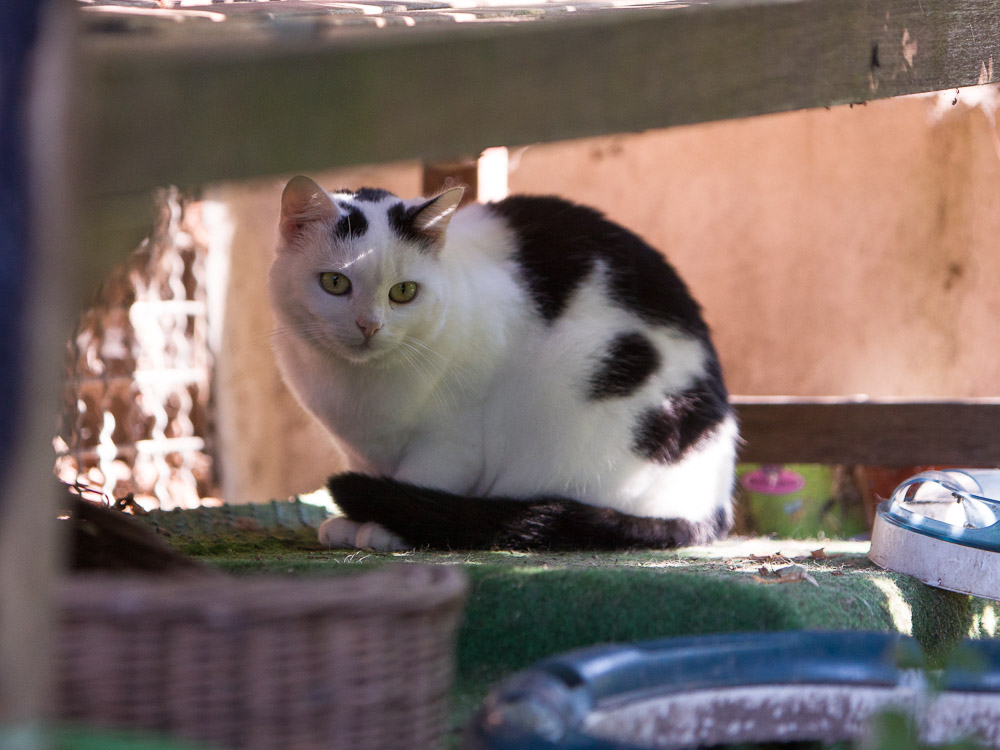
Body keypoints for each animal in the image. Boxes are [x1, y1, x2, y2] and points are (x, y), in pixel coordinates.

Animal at [270, 176, 740, 552]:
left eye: (403, 292)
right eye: (335, 283)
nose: (369, 326)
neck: (361, 386)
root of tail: (711, 506)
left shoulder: (452, 440)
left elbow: (421, 480)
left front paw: (384, 528)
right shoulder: (362, 454)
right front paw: (354, 522)